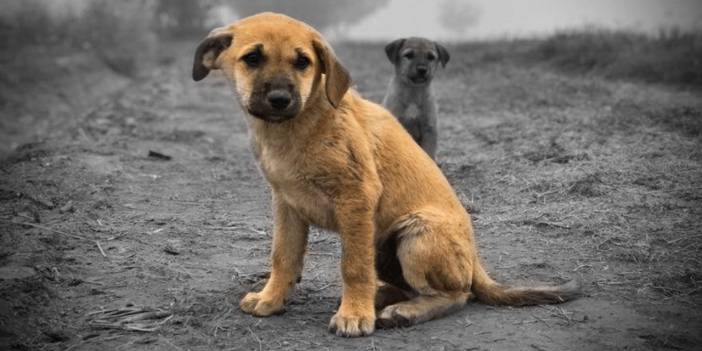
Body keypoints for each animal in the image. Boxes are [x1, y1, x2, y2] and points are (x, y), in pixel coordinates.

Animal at [191, 13, 576, 338]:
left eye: (303, 62)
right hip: (383, 244)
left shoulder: (356, 197)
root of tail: (476, 260)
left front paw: (354, 315)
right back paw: (382, 297)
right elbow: (282, 257)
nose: (279, 99)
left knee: (457, 294)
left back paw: (402, 311)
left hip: (416, 235)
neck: (297, 127)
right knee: (409, 285)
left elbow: (353, 267)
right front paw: (271, 299)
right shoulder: (287, 204)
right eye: (252, 58)